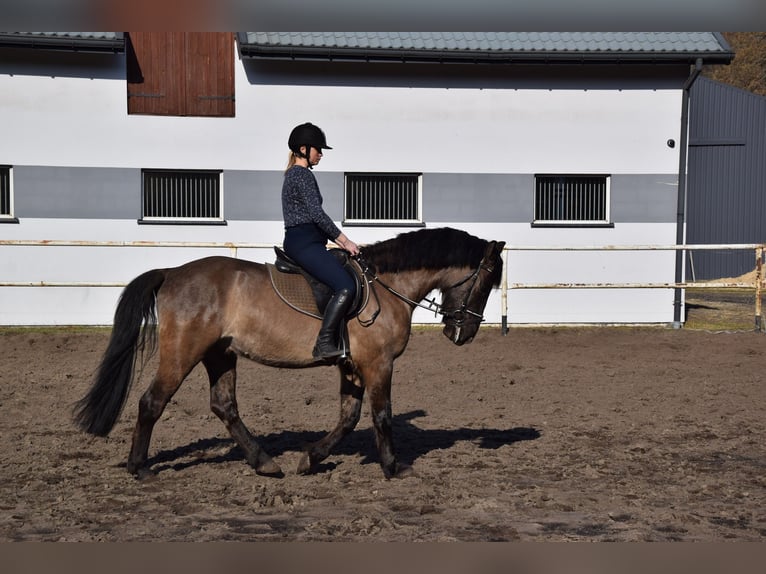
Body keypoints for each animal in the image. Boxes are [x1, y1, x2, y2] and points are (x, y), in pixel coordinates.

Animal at [73, 227, 505, 479]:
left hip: (220, 354)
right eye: (486, 281)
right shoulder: (378, 364)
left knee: (224, 406)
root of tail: (172, 272)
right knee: (152, 402)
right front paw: (393, 468)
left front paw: (311, 459)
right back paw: (140, 468)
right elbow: (381, 416)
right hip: (182, 353)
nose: (463, 333)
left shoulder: (352, 366)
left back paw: (265, 463)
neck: (386, 287)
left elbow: (349, 418)